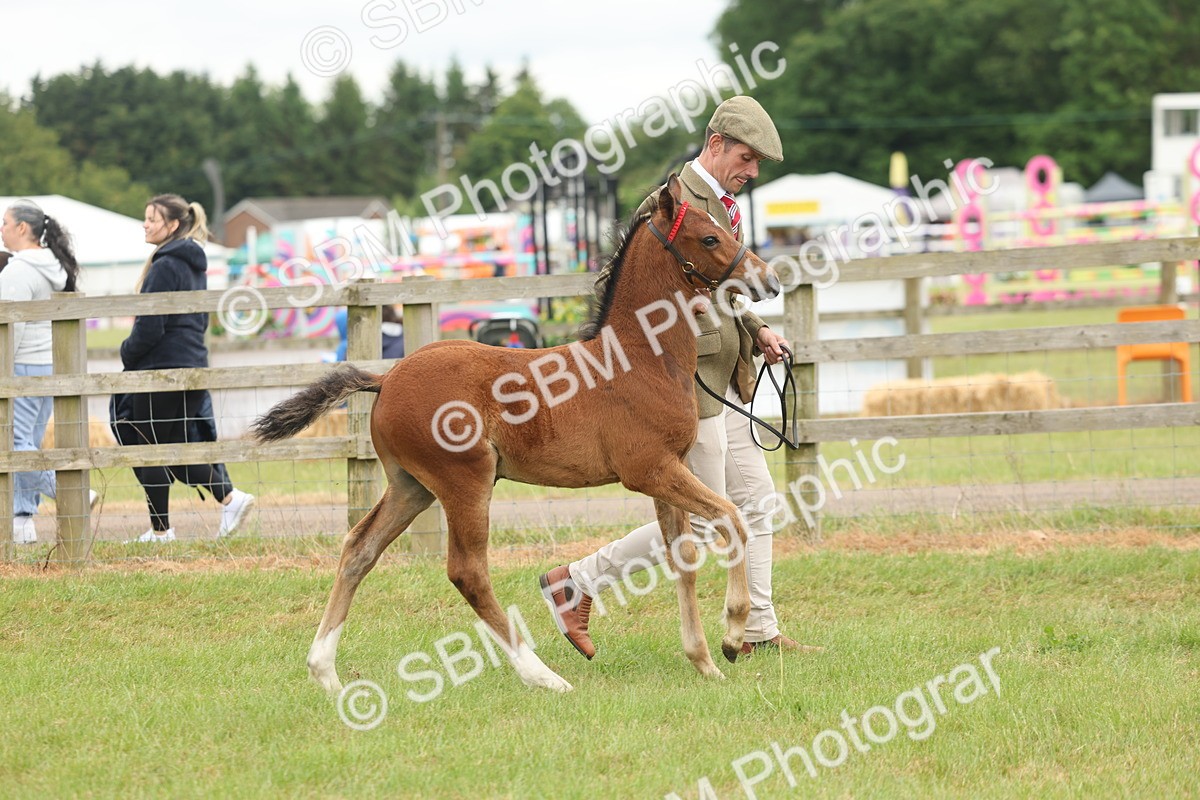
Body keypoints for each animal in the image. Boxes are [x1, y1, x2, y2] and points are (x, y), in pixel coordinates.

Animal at [251, 174, 782, 694]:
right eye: (710, 237)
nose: (769, 279)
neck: (639, 358)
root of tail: (388, 378)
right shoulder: (650, 470)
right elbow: (732, 518)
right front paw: (732, 636)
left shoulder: (668, 471)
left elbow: (683, 554)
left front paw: (704, 662)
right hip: (465, 480)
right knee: (467, 572)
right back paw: (544, 675)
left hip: (411, 486)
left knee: (360, 549)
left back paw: (324, 670)